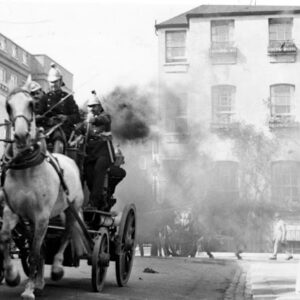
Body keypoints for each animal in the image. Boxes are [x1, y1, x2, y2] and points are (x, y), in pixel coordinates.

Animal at [0, 78, 85, 300]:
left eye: (31, 104)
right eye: (8, 106)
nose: (21, 135)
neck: (26, 169)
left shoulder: (42, 216)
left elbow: (34, 251)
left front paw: (29, 290)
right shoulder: (12, 211)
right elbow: (5, 238)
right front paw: (12, 276)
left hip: (72, 209)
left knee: (66, 234)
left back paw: (56, 268)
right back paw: (39, 280)